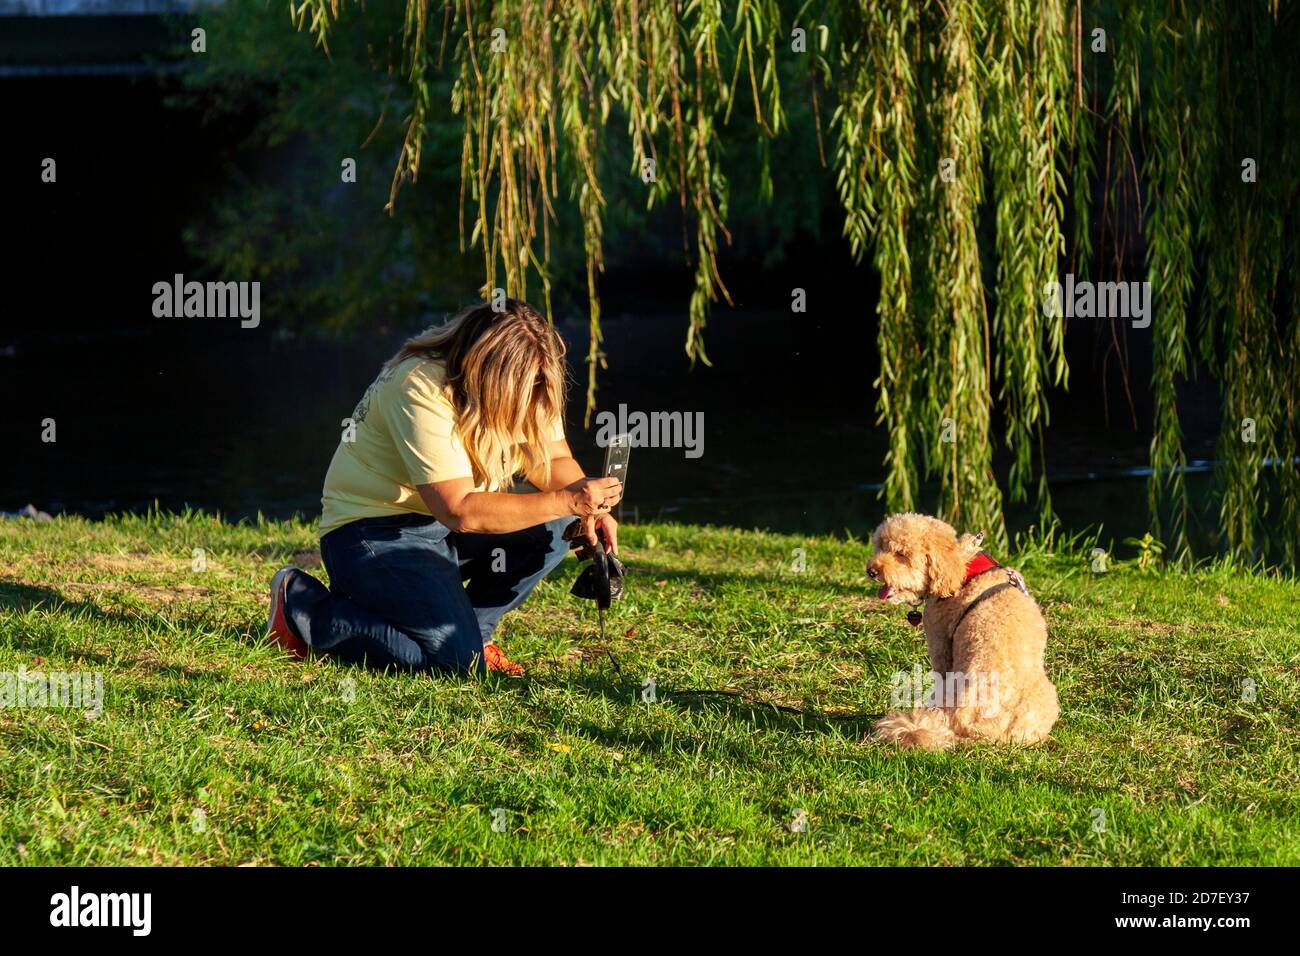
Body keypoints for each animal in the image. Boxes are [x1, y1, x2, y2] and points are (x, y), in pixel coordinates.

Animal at [863, 512, 1055, 749]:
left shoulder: (939, 644)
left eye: (901, 554)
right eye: (880, 547)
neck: (964, 570)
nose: (871, 571)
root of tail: (985, 735)